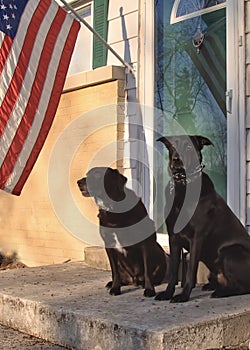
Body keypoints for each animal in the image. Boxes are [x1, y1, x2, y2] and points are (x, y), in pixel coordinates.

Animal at [77, 167, 169, 296]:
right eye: (87, 174)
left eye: (97, 174)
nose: (78, 182)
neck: (113, 207)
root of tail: (134, 279)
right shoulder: (109, 244)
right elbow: (114, 272)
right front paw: (115, 288)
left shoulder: (144, 243)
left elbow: (147, 270)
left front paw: (149, 289)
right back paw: (113, 283)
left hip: (160, 255)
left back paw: (142, 284)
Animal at [155, 135, 250, 302]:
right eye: (172, 146)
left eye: (188, 147)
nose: (176, 159)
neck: (183, 185)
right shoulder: (173, 237)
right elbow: (173, 270)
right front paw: (167, 293)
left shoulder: (197, 237)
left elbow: (190, 271)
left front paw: (183, 295)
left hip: (231, 252)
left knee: (242, 288)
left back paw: (220, 292)